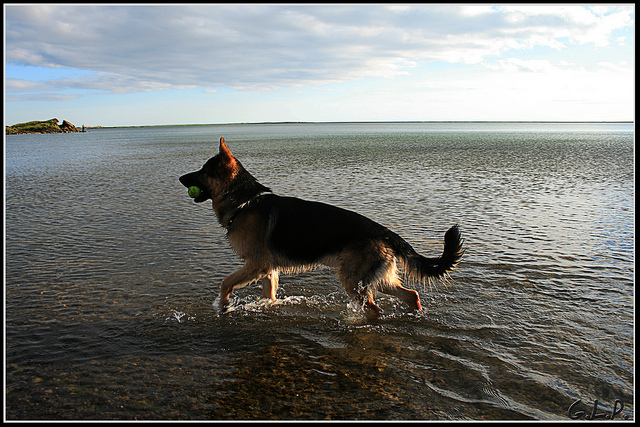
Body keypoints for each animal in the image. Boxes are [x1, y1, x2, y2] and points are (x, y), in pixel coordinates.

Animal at [180, 137, 464, 320]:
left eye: (203, 170)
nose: (181, 178)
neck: (244, 201)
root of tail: (385, 232)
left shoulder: (255, 264)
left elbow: (225, 282)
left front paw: (223, 305)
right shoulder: (268, 269)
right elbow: (269, 295)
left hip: (353, 282)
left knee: (375, 309)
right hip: (378, 280)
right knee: (411, 295)